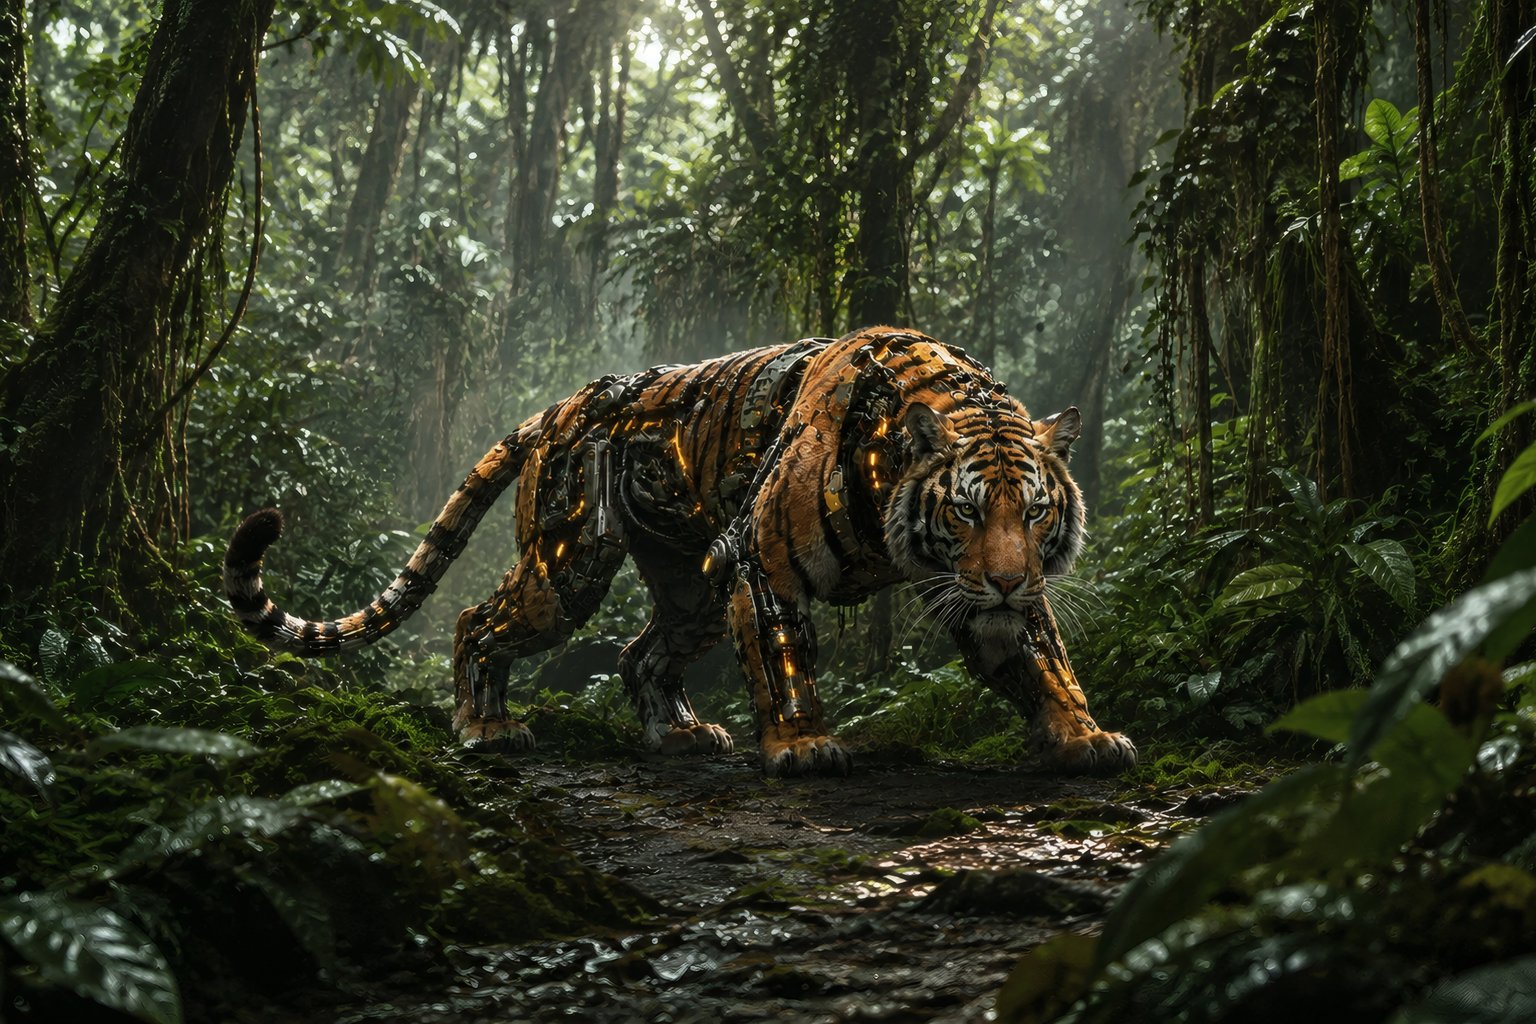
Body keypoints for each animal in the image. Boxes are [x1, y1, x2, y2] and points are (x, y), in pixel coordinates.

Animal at [224, 326, 1137, 777]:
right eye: (966, 510)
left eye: (1037, 511)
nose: (1010, 578)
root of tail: (570, 400)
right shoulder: (763, 560)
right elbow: (785, 658)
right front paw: (803, 746)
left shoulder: (984, 595)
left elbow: (1043, 659)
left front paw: (1084, 736)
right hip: (567, 570)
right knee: (477, 620)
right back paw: (486, 726)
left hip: (689, 587)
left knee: (639, 654)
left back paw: (681, 736)